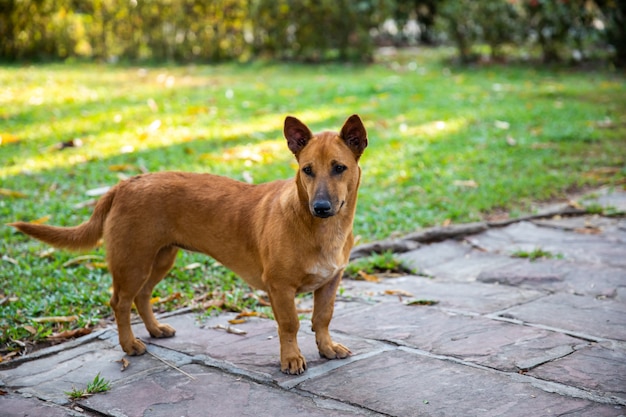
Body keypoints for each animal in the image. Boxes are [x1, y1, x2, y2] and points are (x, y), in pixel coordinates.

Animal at [9, 114, 366, 374]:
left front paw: (326, 348)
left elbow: (322, 318)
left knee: (142, 296)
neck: (320, 229)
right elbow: (290, 325)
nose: (321, 207)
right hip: (132, 262)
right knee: (120, 303)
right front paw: (291, 359)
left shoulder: (331, 281)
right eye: (307, 170)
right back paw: (130, 345)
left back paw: (154, 331)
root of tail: (126, 184)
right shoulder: (279, 288)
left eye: (339, 168)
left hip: (160, 259)